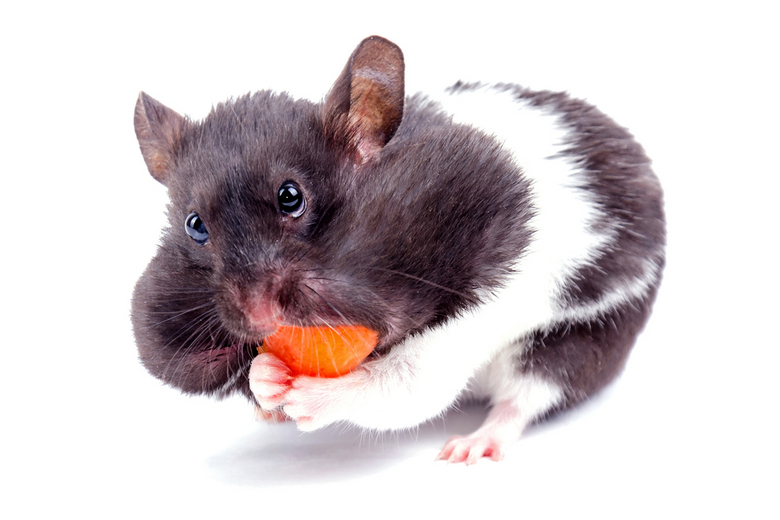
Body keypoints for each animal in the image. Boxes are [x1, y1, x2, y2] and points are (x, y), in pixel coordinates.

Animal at [133, 34, 664, 464]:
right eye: (195, 226)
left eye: (291, 197)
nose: (259, 319)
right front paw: (266, 376)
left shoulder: (482, 303)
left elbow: (404, 384)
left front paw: (305, 399)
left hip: (588, 336)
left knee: (526, 396)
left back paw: (468, 449)